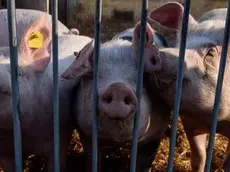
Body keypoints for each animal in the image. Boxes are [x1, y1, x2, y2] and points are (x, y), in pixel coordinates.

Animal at [60, 20, 171, 171]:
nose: (118, 87)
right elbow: (93, 160)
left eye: (141, 77)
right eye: (94, 76)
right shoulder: (86, 134)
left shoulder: (155, 135)